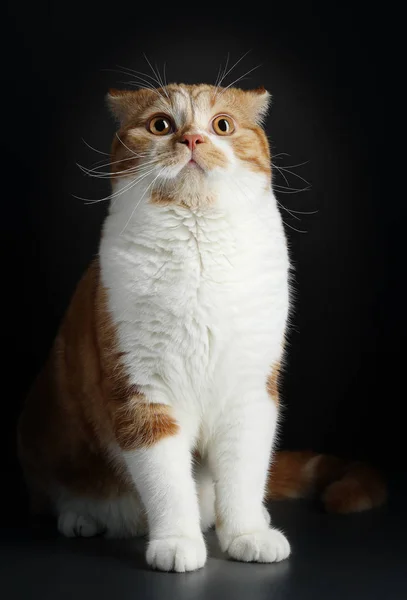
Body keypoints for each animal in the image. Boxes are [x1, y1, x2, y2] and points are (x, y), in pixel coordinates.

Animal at [17, 83, 388, 572]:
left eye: (222, 125)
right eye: (161, 125)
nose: (192, 139)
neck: (198, 251)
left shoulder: (249, 392)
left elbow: (244, 473)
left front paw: (247, 533)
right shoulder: (145, 393)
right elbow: (168, 482)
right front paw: (177, 541)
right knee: (61, 494)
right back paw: (82, 516)